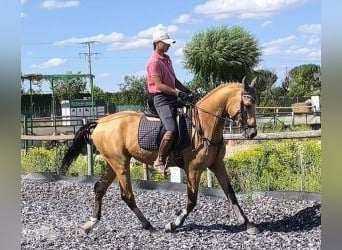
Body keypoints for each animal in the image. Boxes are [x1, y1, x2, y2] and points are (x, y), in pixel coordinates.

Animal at [60, 77, 260, 235]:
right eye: (247, 105)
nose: (252, 134)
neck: (204, 124)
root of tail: (100, 122)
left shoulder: (217, 165)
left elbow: (231, 194)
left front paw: (248, 224)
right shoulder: (193, 169)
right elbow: (192, 201)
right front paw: (172, 224)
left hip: (113, 163)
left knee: (100, 188)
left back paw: (90, 224)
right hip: (120, 163)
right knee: (127, 195)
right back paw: (149, 225)